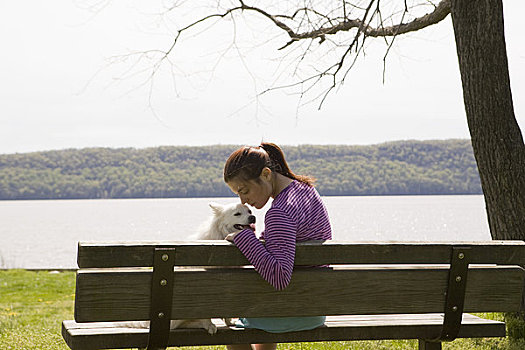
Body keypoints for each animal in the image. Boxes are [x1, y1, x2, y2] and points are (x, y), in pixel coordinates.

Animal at [121, 202, 256, 336]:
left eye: (249, 211)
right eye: (237, 214)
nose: (253, 217)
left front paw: (229, 322)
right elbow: (205, 313)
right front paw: (209, 325)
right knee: (176, 326)